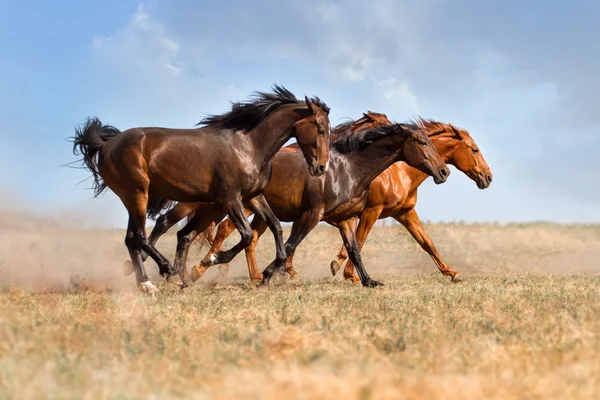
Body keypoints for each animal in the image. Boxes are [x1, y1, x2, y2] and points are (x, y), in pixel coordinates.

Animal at [72, 84, 332, 292]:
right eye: (320, 128)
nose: (321, 167)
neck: (248, 145)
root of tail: (107, 145)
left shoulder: (253, 197)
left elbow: (276, 226)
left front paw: (271, 273)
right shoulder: (231, 198)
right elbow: (247, 235)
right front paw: (212, 260)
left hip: (135, 198)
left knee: (132, 238)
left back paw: (148, 283)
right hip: (137, 194)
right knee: (140, 236)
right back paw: (167, 274)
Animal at [330, 117, 494, 282]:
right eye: (474, 150)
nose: (488, 177)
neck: (402, 172)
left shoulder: (404, 212)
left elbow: (426, 242)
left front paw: (451, 272)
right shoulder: (371, 211)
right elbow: (359, 242)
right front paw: (349, 274)